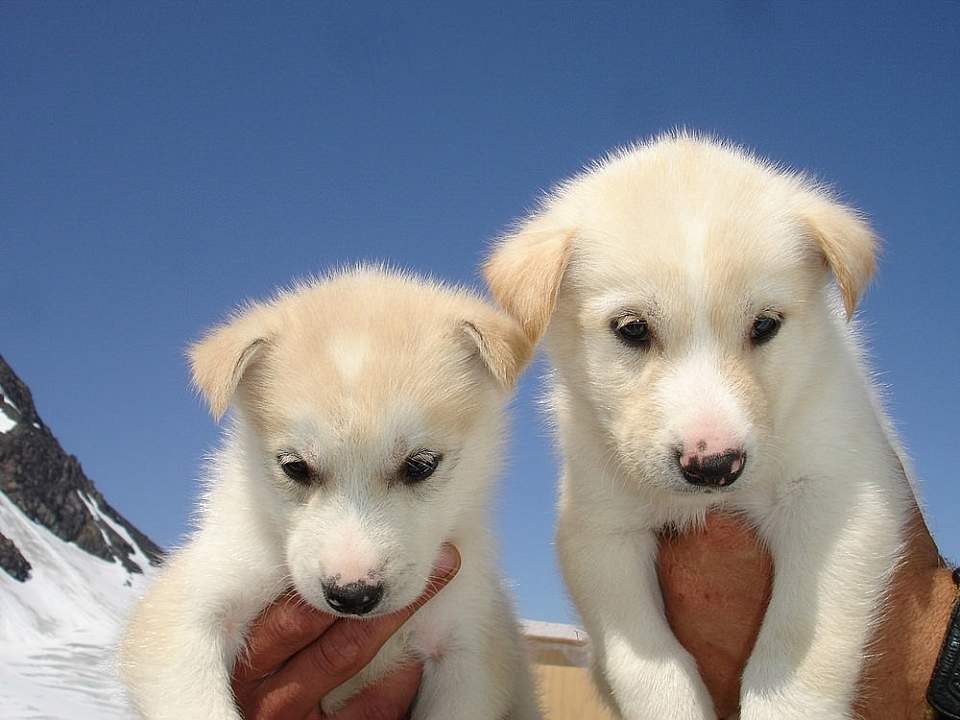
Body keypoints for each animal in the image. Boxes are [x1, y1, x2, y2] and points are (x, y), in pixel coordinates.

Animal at [488, 135, 916, 720]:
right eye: (632, 329)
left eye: (765, 325)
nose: (714, 465)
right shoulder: (600, 532)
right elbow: (651, 669)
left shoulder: (842, 502)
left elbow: (793, 654)